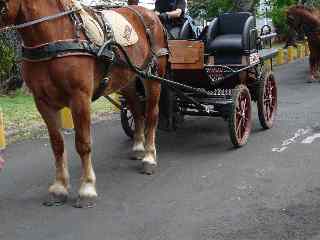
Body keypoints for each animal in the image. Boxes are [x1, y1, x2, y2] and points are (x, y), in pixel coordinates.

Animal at [0, 0, 169, 206]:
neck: (54, 36)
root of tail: (150, 13)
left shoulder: (80, 98)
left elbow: (83, 143)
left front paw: (87, 188)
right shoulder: (43, 102)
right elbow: (57, 145)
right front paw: (59, 187)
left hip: (153, 77)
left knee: (152, 115)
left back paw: (149, 158)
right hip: (127, 80)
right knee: (137, 111)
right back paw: (138, 147)